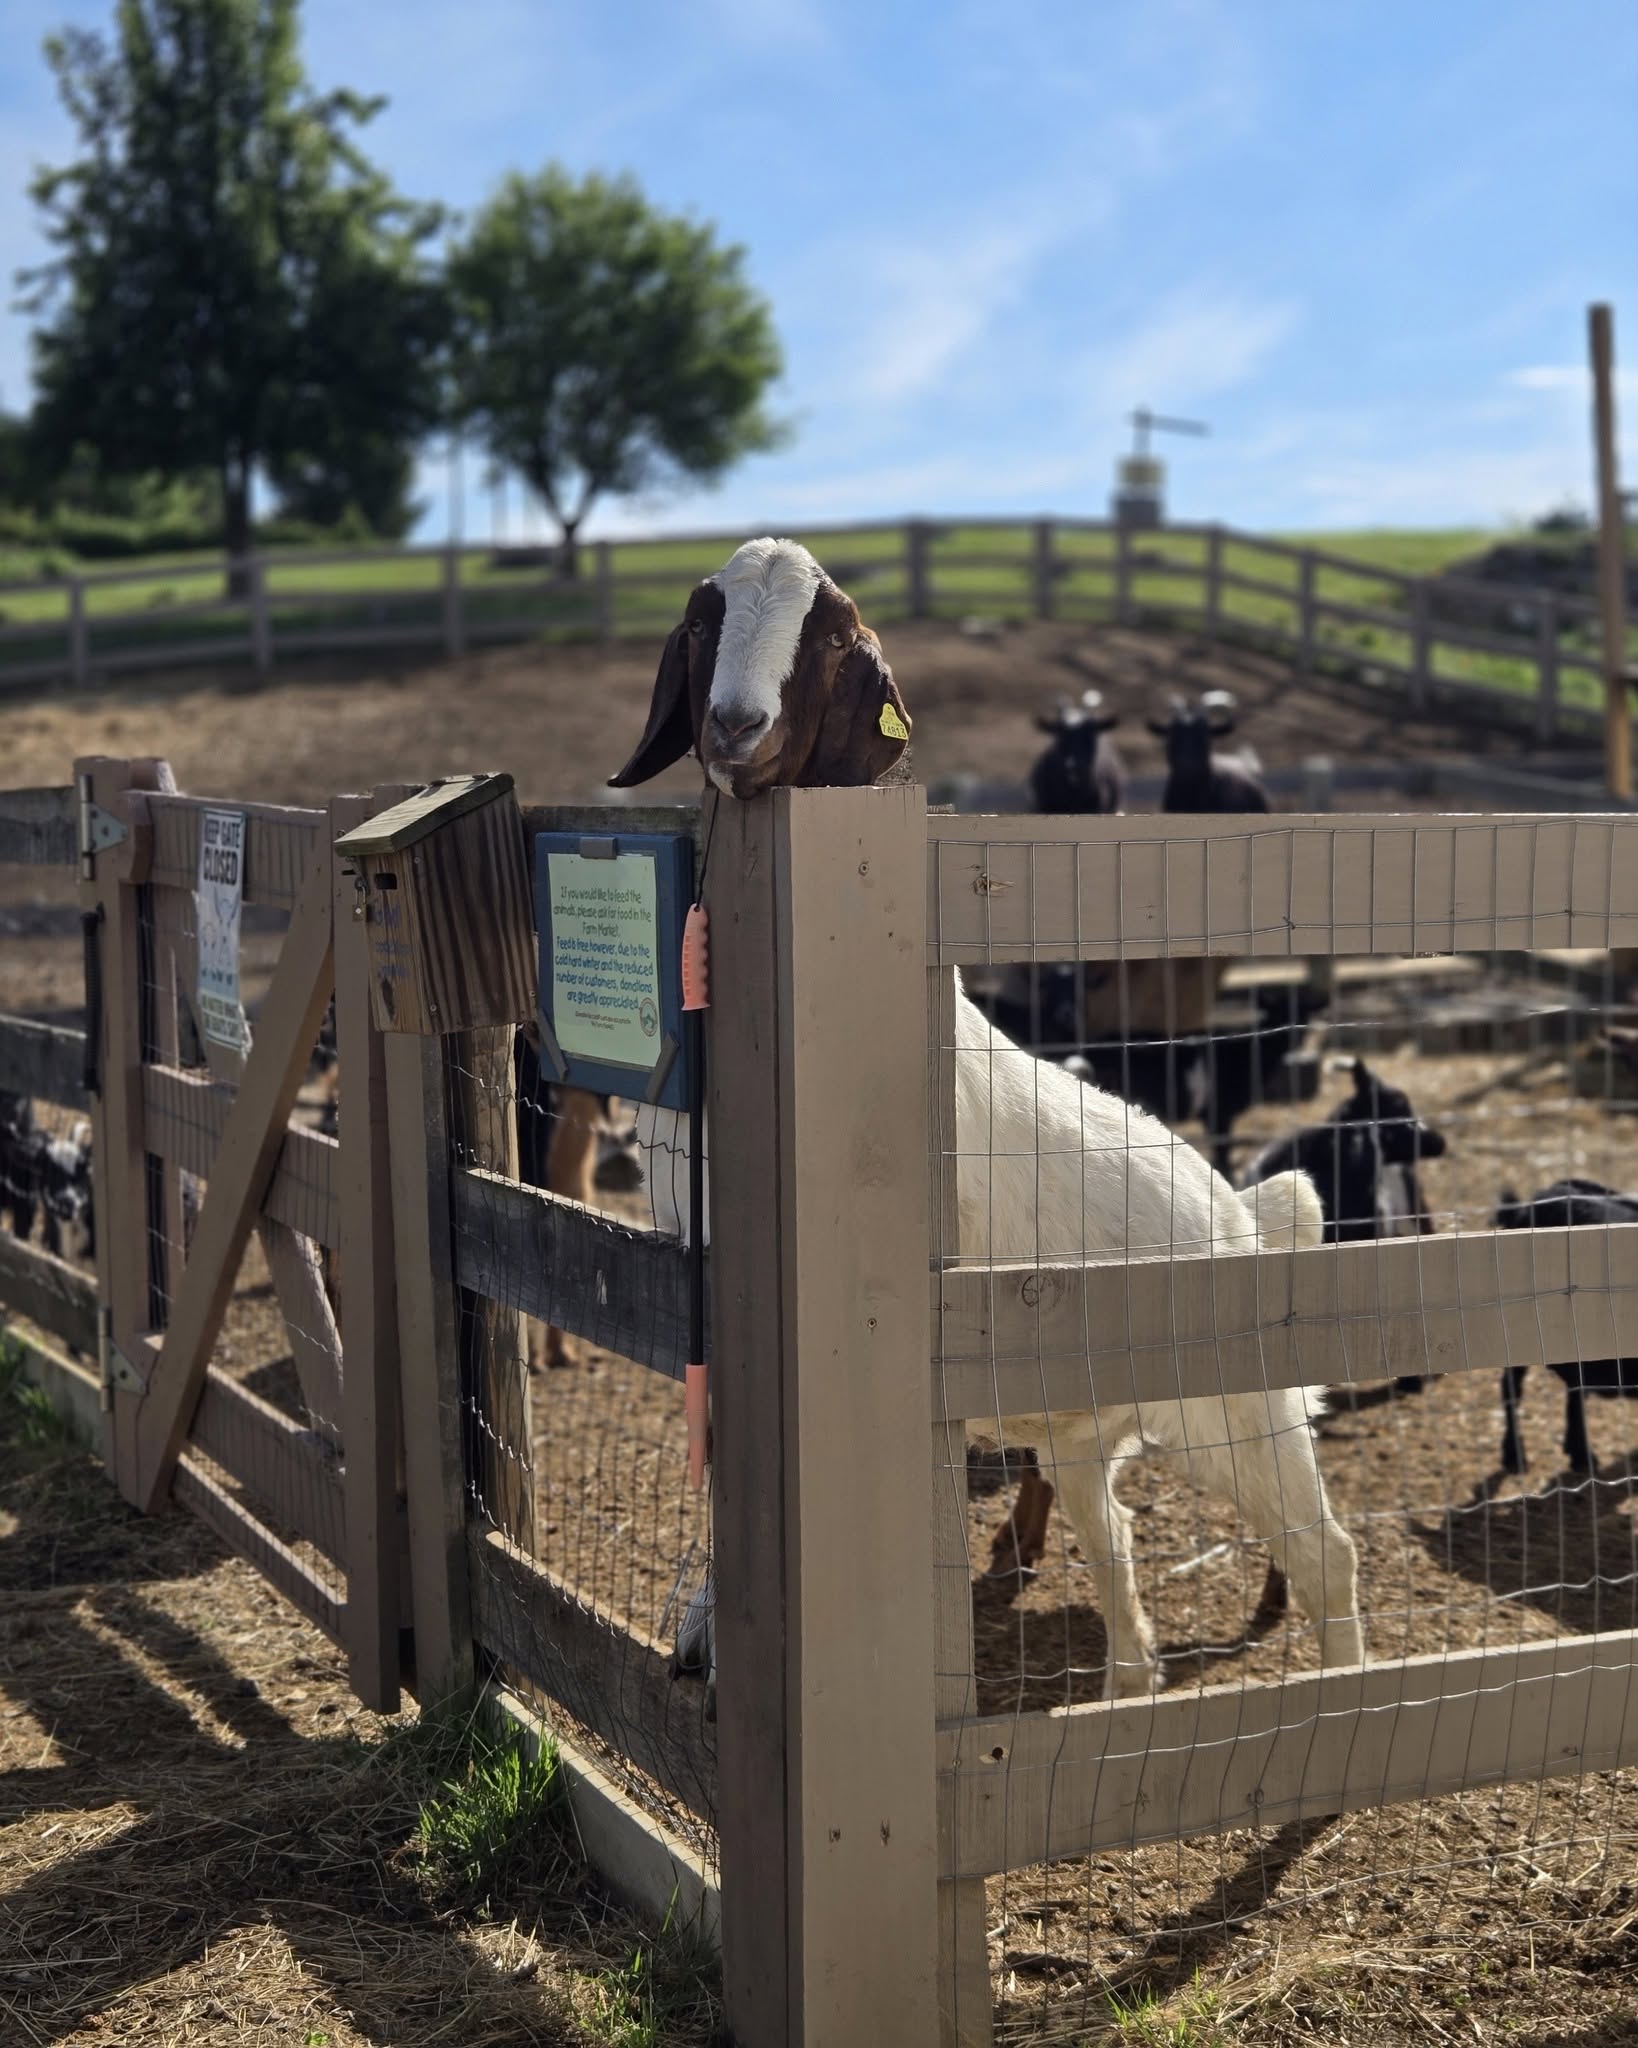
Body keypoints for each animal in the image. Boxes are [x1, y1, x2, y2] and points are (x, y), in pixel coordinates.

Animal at [610, 537, 1362, 1701]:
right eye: (702, 623)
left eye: (833, 638)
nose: (733, 725)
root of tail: (1246, 1215)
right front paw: (705, 1630)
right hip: (1084, 1425)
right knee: (1117, 1542)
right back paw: (1126, 1688)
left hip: (1233, 1406)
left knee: (1325, 1549)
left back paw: (1340, 1697)